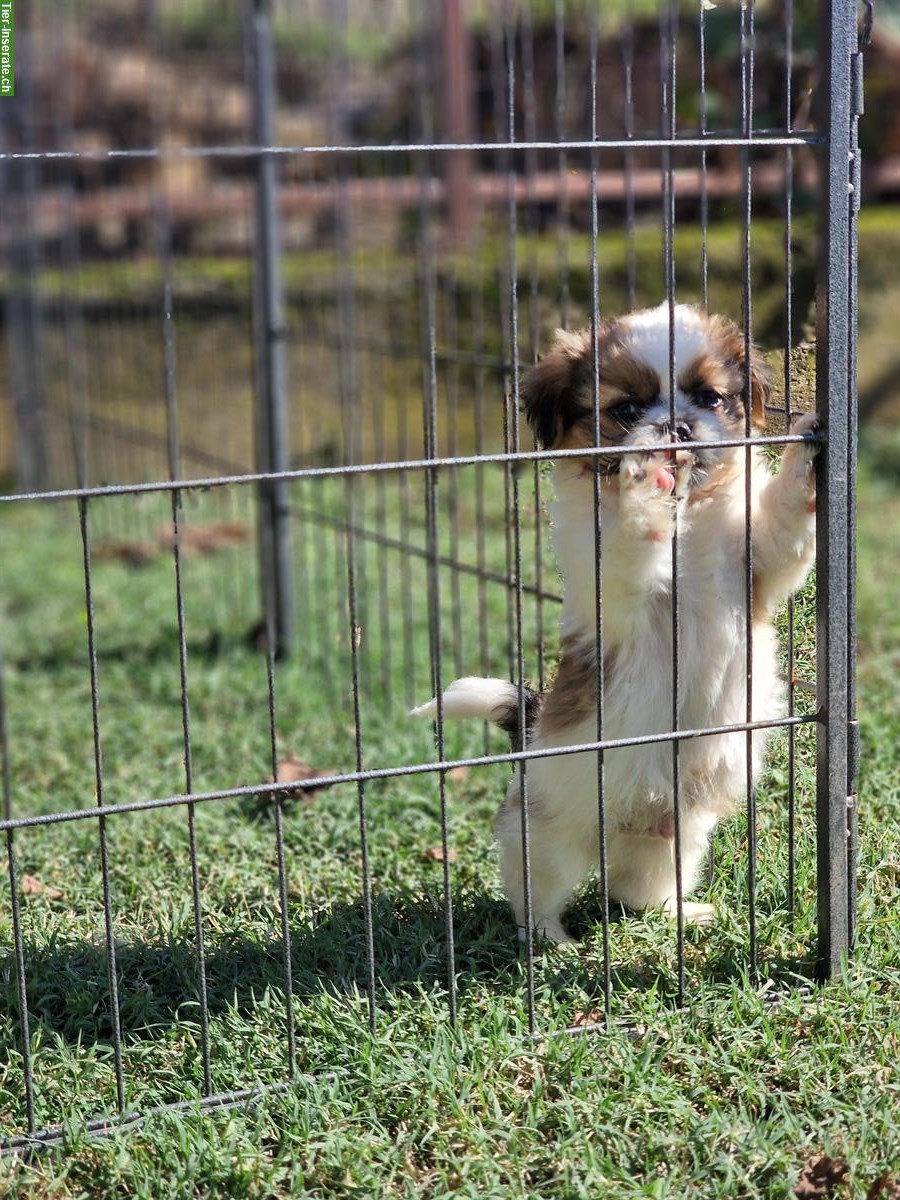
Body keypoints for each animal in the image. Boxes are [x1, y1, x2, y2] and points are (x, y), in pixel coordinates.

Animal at [415, 304, 825, 940]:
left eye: (709, 398)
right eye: (628, 410)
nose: (676, 428)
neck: (690, 514)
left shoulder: (757, 558)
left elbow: (782, 525)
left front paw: (807, 452)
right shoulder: (611, 575)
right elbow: (628, 540)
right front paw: (642, 483)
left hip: (674, 836)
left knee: (635, 889)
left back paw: (675, 912)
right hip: (548, 833)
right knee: (534, 890)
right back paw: (551, 940)